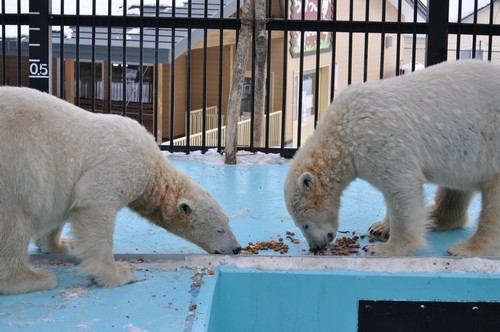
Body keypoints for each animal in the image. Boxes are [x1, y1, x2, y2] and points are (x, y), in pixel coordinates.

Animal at [0, 87, 242, 294]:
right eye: (220, 229)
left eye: (227, 223)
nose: (237, 249)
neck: (154, 171)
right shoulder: (120, 163)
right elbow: (95, 205)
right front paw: (119, 273)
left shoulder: (64, 183)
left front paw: (61, 245)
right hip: (15, 169)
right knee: (13, 224)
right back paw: (34, 279)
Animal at [286, 59, 500, 256]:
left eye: (304, 224)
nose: (316, 247)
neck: (343, 131)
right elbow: (390, 191)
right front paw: (380, 228)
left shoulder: (380, 138)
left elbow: (402, 189)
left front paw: (385, 248)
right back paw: (435, 217)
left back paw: (467, 248)